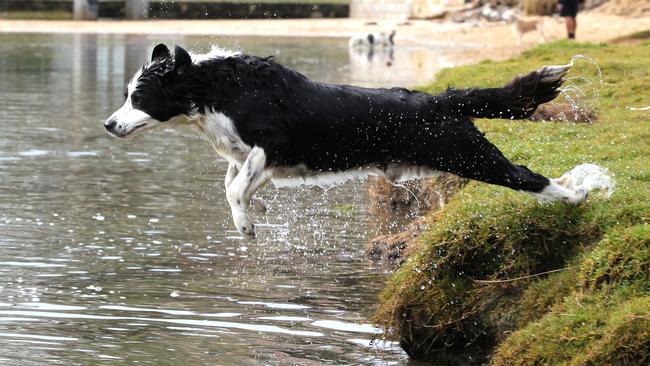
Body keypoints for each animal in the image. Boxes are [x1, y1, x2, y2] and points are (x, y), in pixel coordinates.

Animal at [105, 44, 612, 237]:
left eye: (139, 96)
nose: (109, 124)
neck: (214, 88)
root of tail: (442, 101)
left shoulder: (272, 143)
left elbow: (234, 188)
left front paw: (247, 226)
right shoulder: (250, 156)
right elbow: (233, 182)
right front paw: (254, 210)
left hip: (469, 154)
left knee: (527, 176)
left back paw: (580, 192)